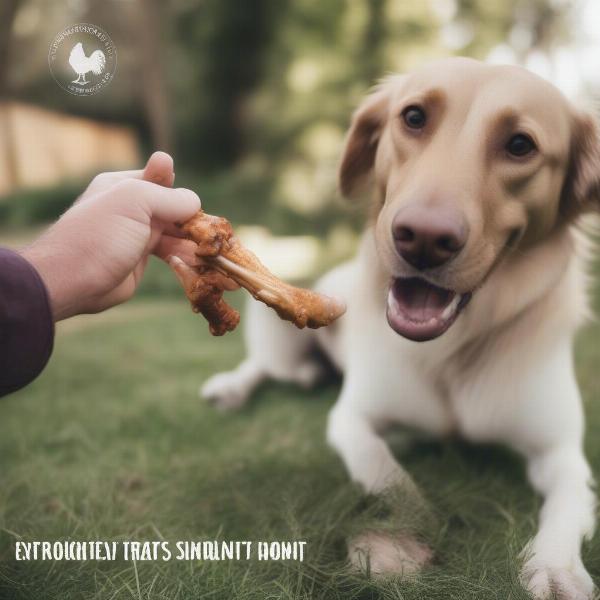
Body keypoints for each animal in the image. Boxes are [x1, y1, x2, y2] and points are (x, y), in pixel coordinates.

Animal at [203, 57, 600, 600]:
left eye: (520, 144)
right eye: (413, 117)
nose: (424, 239)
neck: (454, 347)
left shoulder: (562, 453)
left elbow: (569, 505)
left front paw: (557, 568)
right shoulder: (351, 420)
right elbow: (388, 474)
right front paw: (400, 540)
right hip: (274, 317)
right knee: (261, 366)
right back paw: (236, 387)